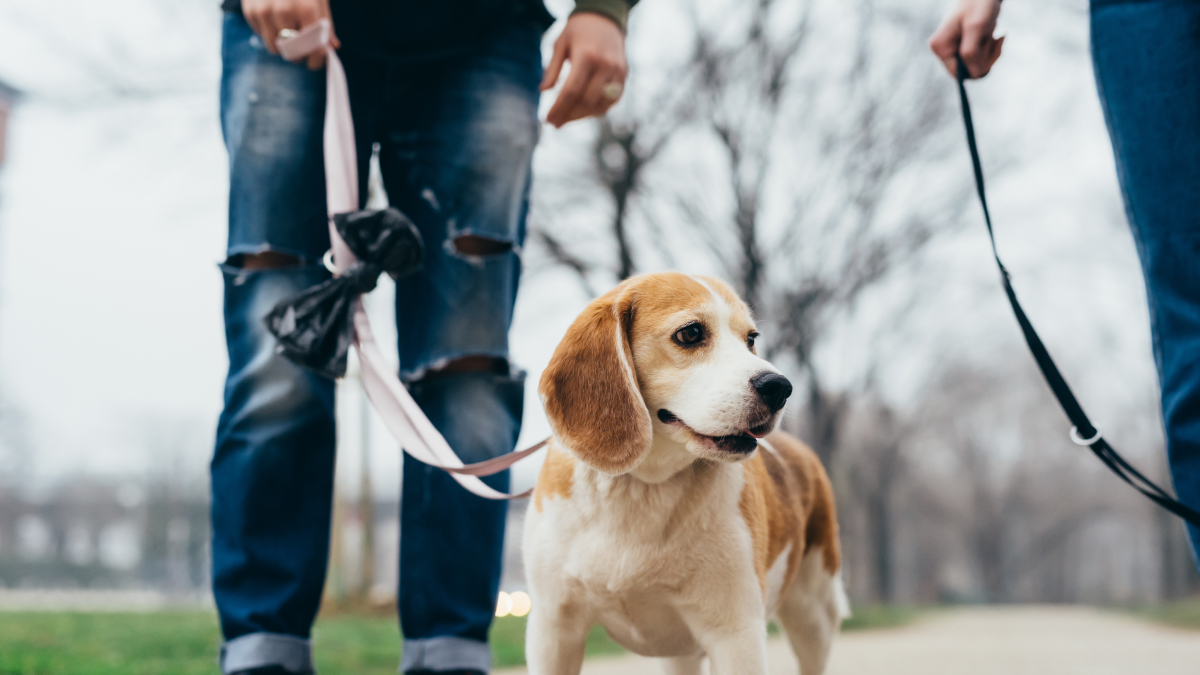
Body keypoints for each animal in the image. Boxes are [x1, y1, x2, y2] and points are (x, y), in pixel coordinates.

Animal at [523, 269, 844, 672]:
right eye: (691, 333)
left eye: (750, 339)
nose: (780, 387)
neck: (640, 486)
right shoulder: (553, 631)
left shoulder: (735, 634)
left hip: (814, 615)